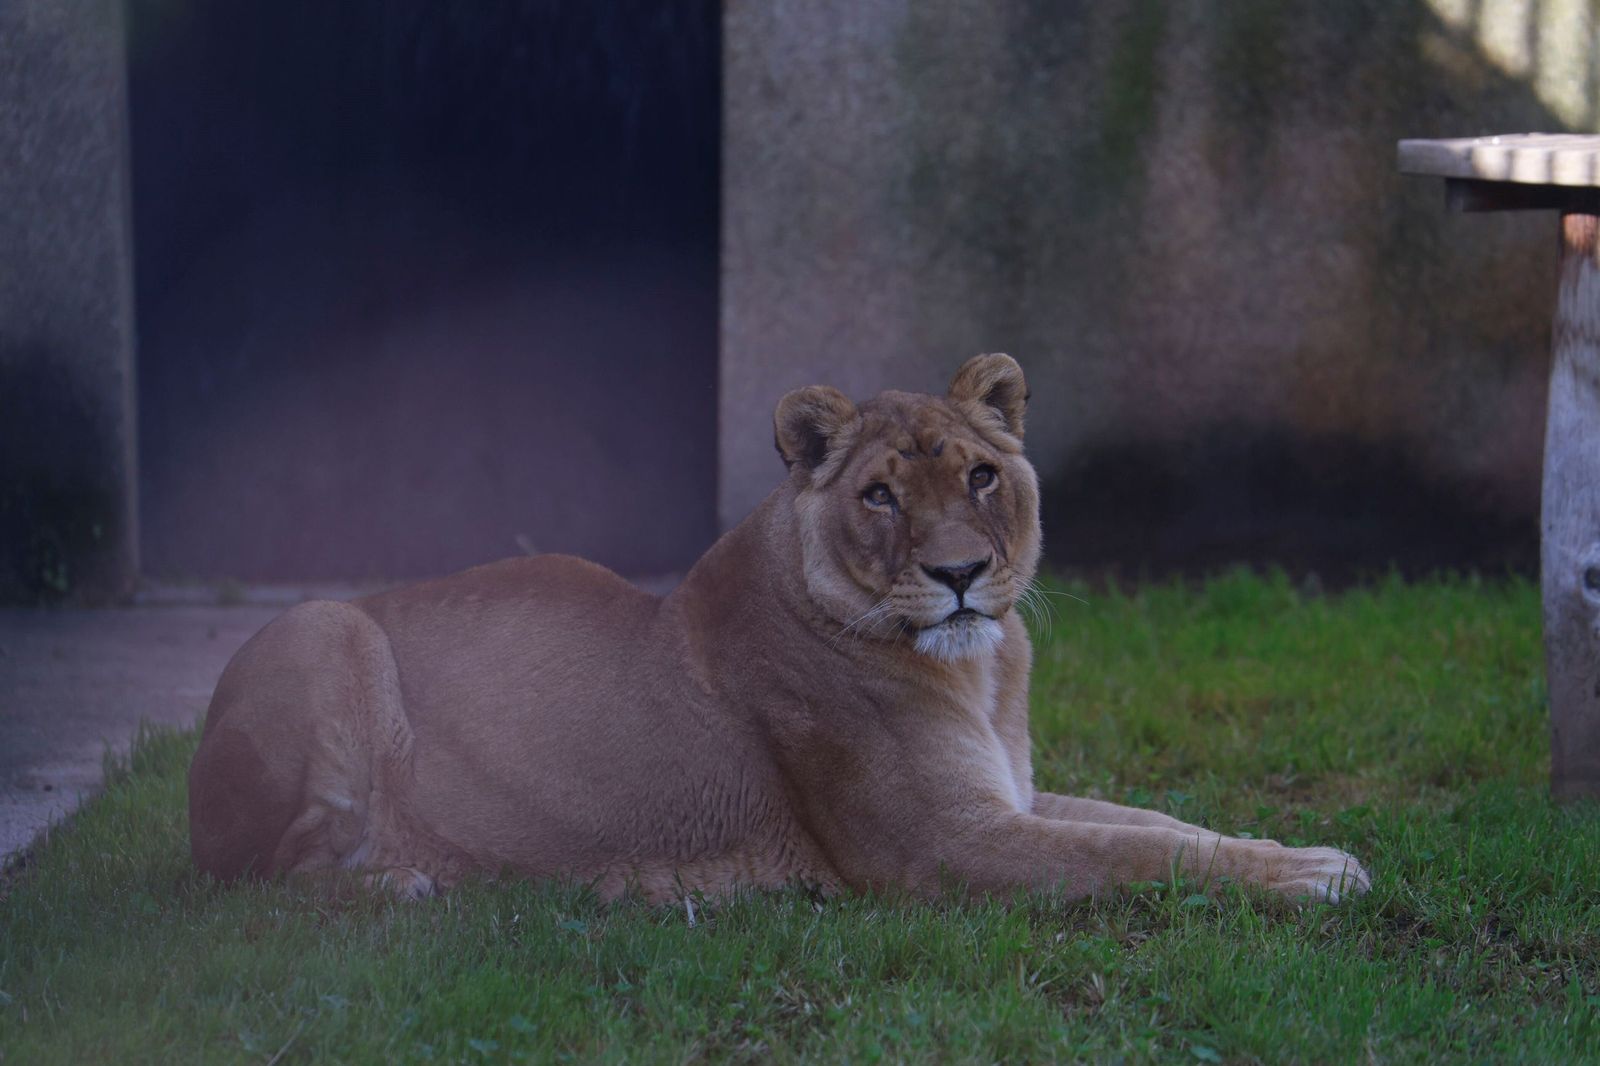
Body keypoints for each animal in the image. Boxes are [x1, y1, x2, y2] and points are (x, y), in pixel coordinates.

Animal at [188, 354, 1369, 904]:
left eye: (981, 476)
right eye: (881, 496)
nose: (958, 575)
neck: (981, 671)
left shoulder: (1011, 794)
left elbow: (1158, 822)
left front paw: (1303, 851)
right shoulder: (945, 847)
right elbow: (1131, 854)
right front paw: (1306, 878)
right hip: (325, 626)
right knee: (258, 880)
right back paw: (401, 883)